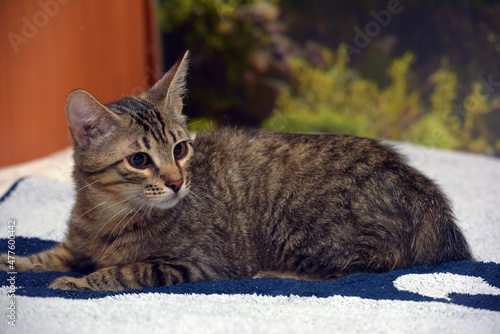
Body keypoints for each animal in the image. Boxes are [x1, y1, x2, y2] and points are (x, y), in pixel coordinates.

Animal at [0, 51, 472, 290]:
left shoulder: (196, 265)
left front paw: (74, 283)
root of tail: (427, 195)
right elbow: (51, 254)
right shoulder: (77, 244)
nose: (177, 182)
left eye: (180, 149)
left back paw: (276, 272)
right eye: (139, 160)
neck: (107, 214)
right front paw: (17, 262)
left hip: (315, 231)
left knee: (365, 266)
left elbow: (125, 270)